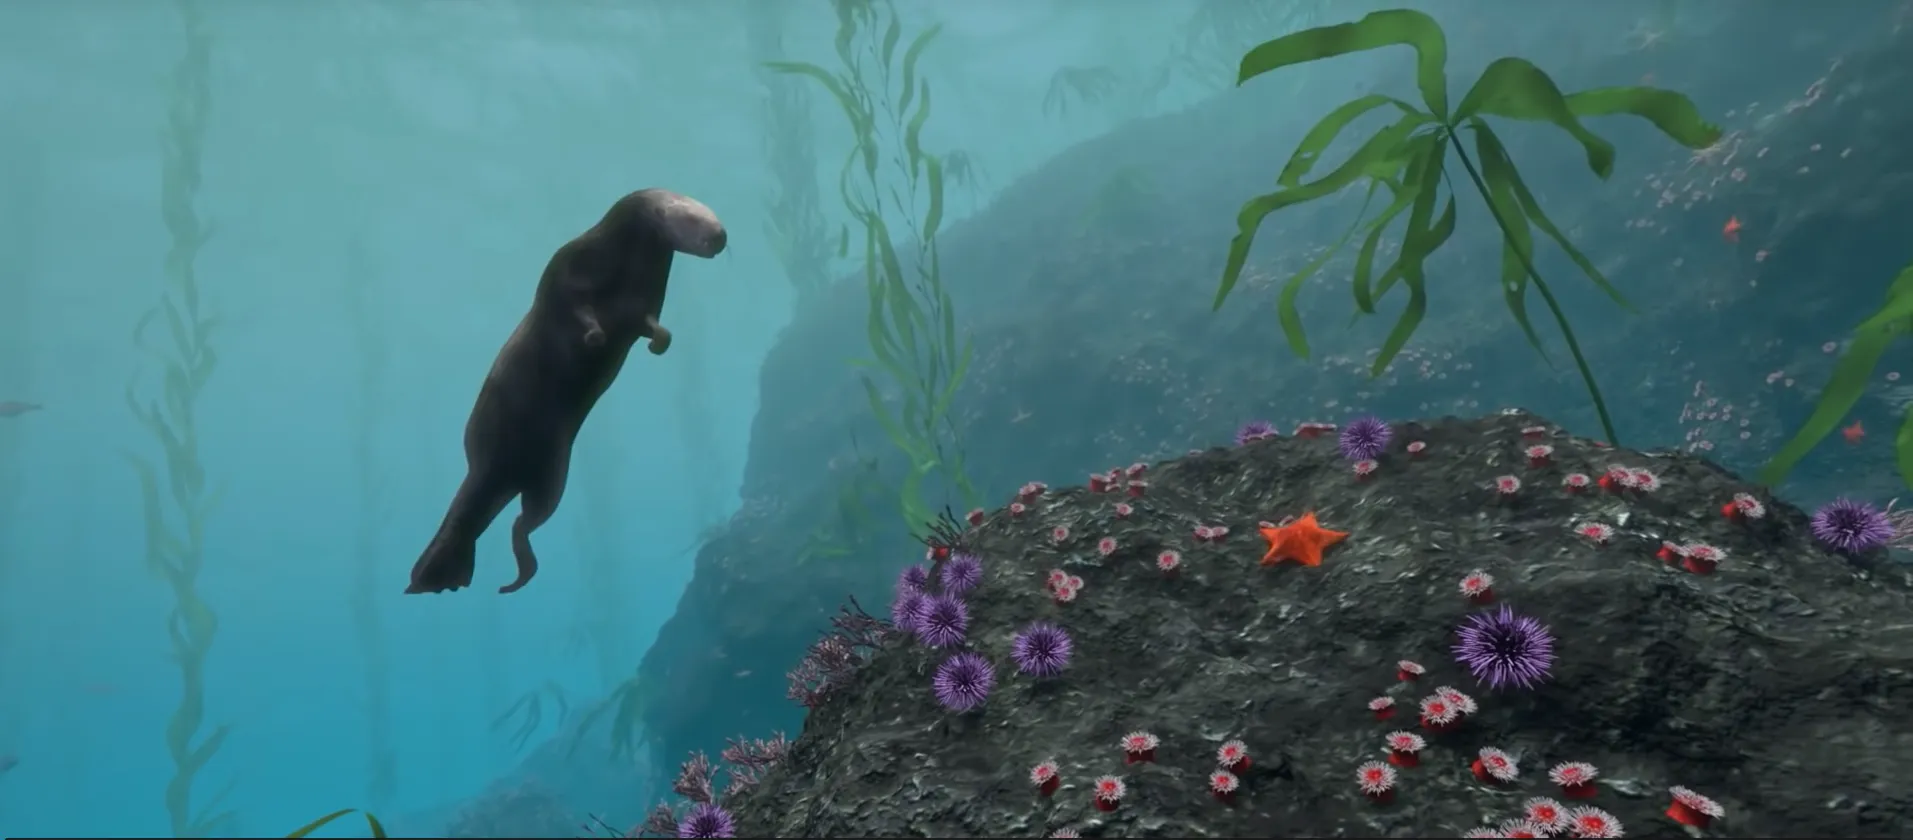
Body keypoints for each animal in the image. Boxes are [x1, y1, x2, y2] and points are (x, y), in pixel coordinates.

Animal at [407, 188, 727, 595]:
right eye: (692, 218)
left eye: (714, 214)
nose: (721, 236)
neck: (627, 262)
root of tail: (499, 475)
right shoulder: (566, 273)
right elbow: (577, 307)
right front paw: (595, 337)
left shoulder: (646, 298)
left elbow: (652, 326)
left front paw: (658, 344)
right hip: (489, 437)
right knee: (507, 519)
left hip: (552, 477)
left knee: (524, 523)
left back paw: (498, 579)